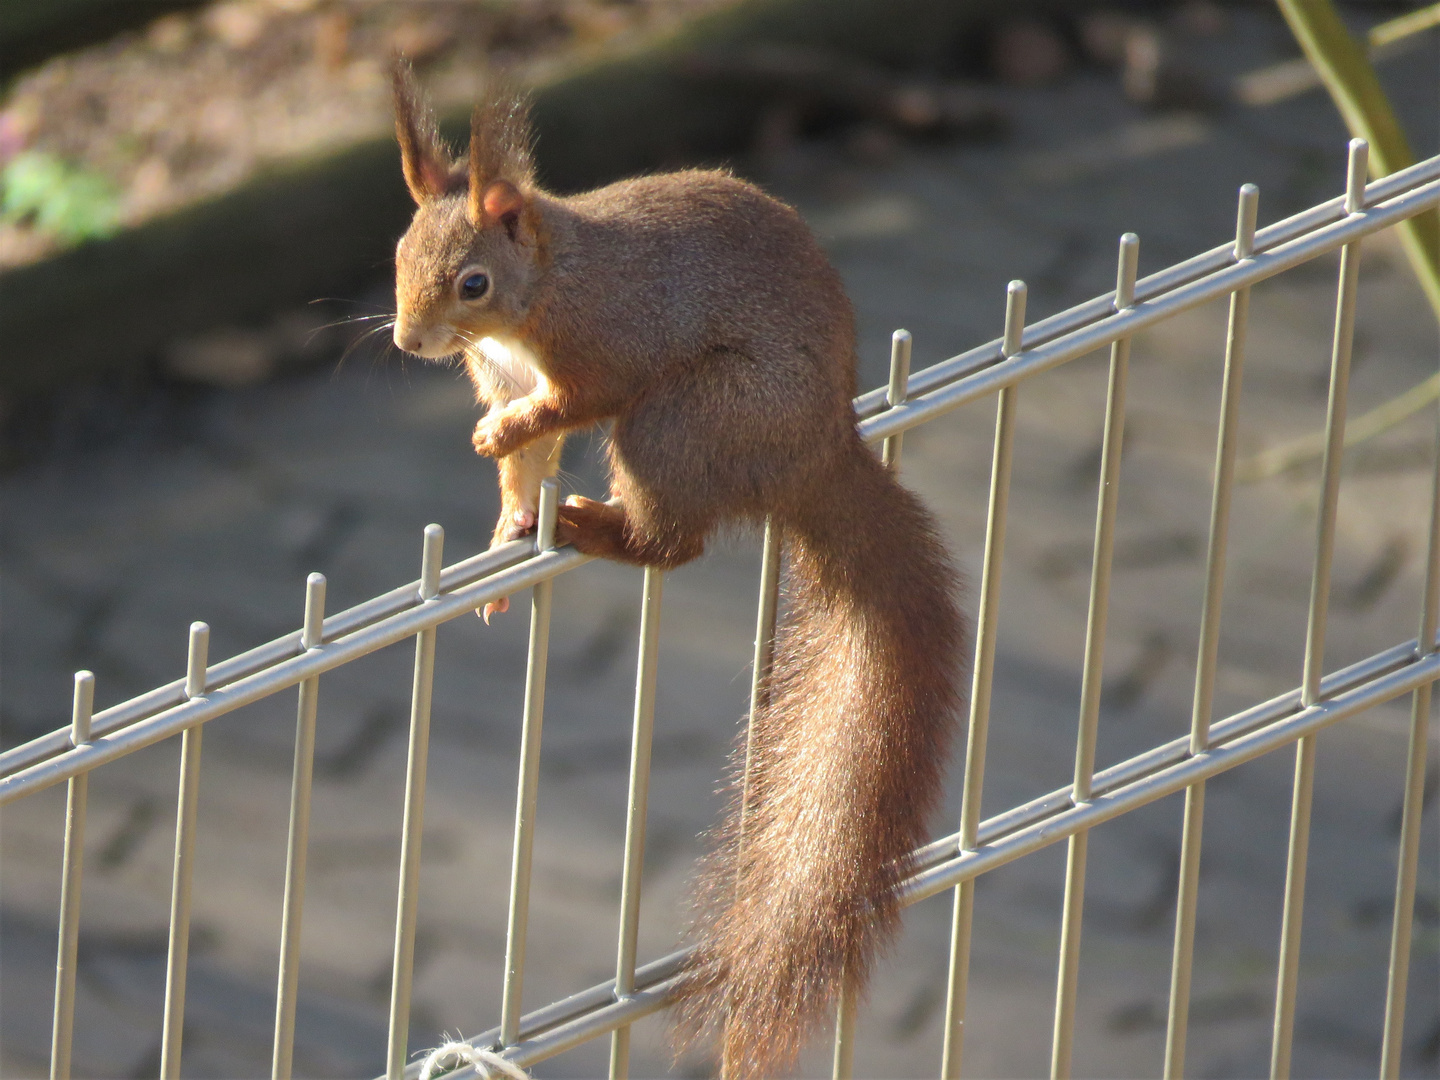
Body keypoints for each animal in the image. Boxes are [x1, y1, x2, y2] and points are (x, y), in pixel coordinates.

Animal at [388, 63, 967, 1077]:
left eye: (472, 282)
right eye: (396, 253)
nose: (407, 342)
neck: (549, 285)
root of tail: (817, 453)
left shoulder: (606, 345)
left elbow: (567, 407)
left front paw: (505, 438)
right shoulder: (504, 369)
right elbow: (523, 467)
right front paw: (505, 530)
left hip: (680, 422)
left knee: (673, 542)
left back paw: (596, 526)